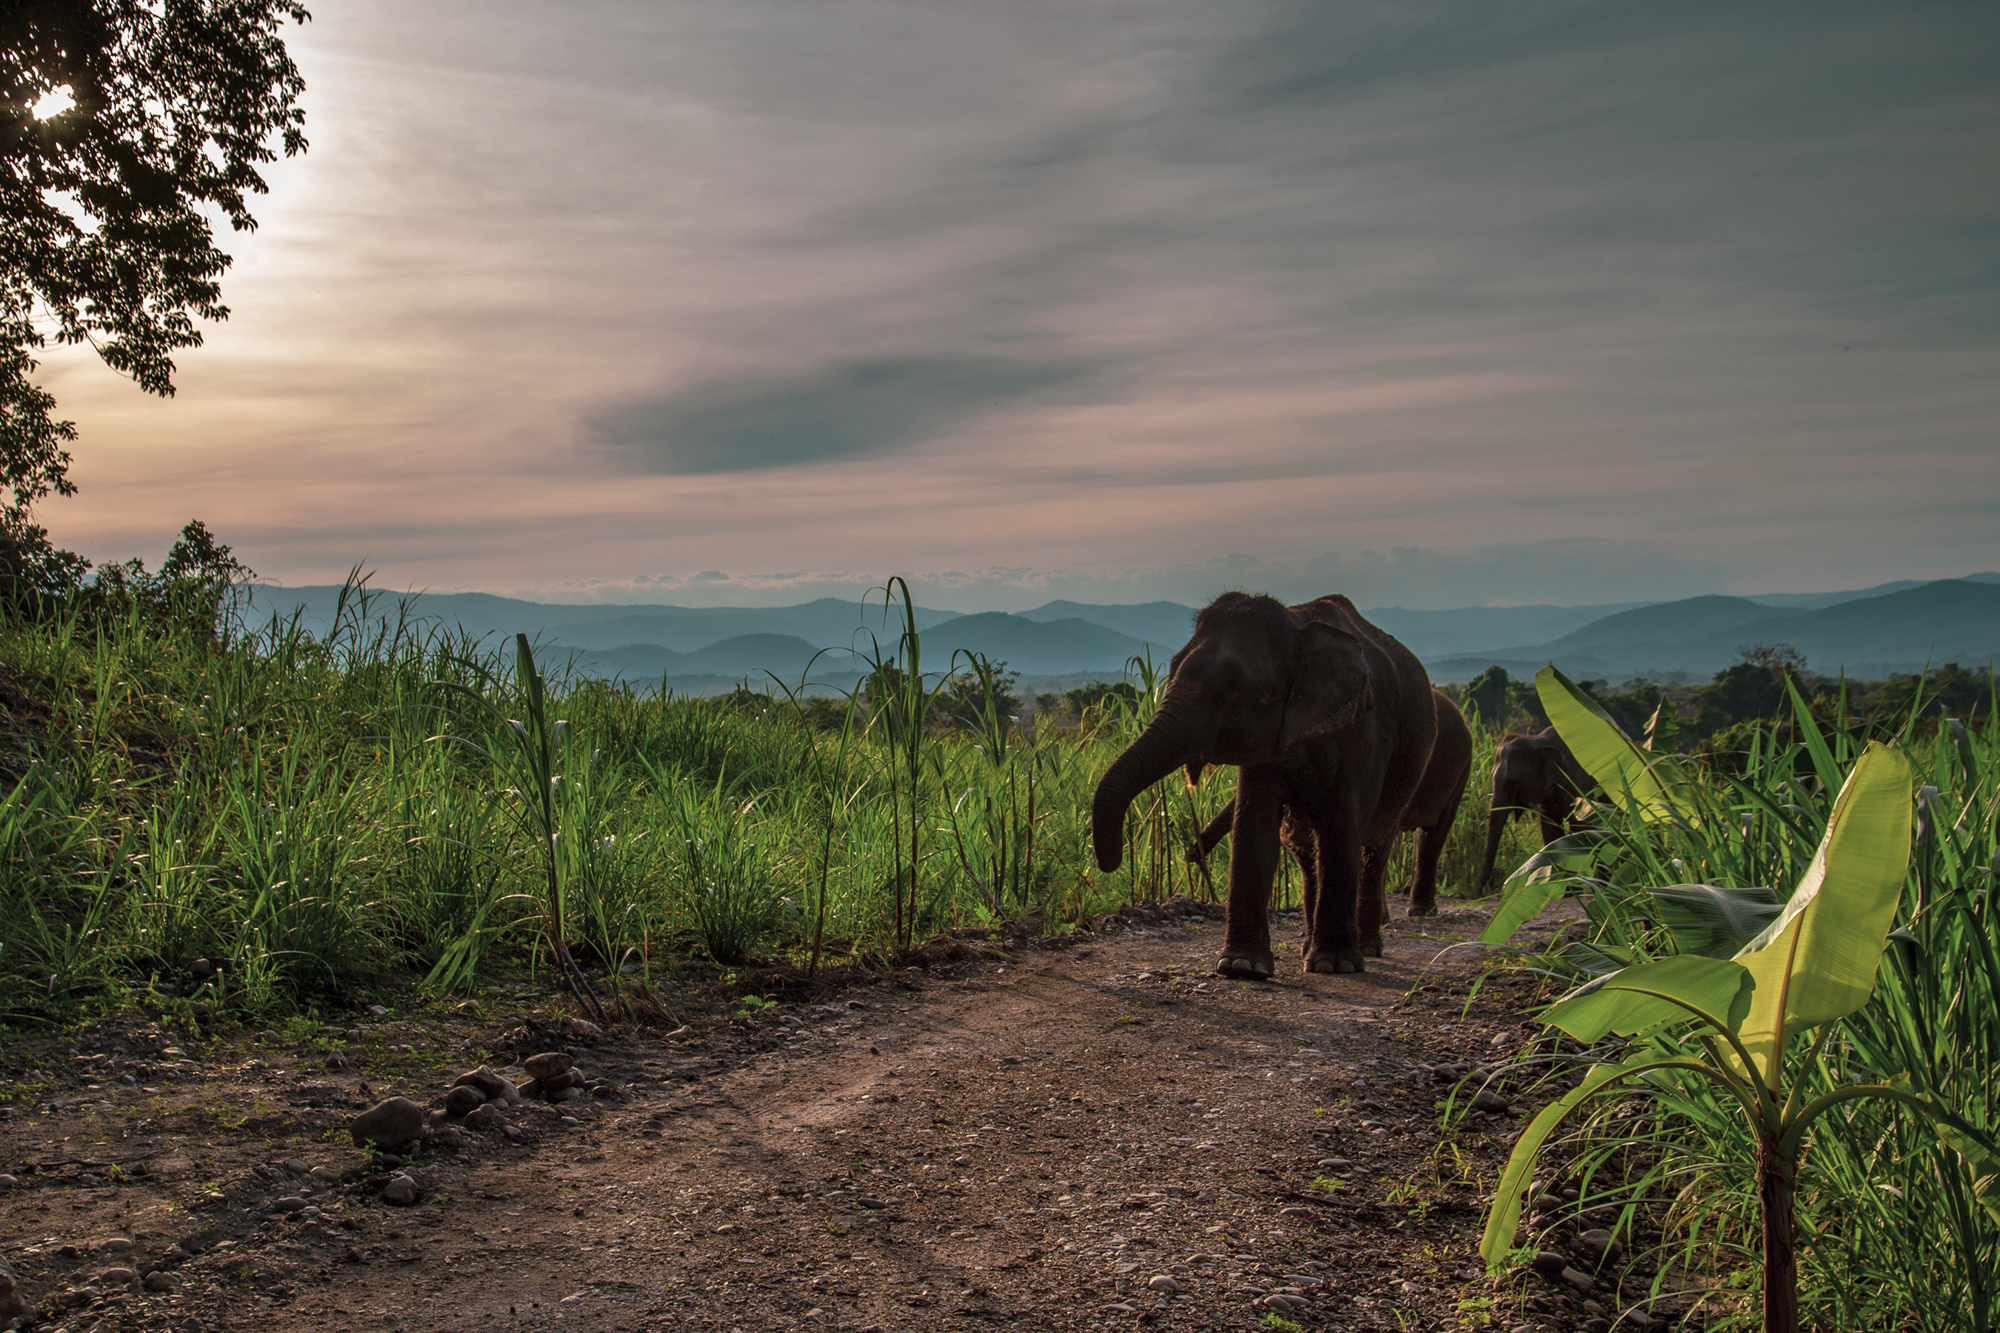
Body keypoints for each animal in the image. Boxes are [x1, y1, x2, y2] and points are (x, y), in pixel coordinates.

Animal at [1475, 727, 1598, 889]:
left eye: (1513, 782)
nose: (1485, 889)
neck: (1539, 740)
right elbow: (1550, 831)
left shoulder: (1580, 784)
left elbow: (1580, 828)